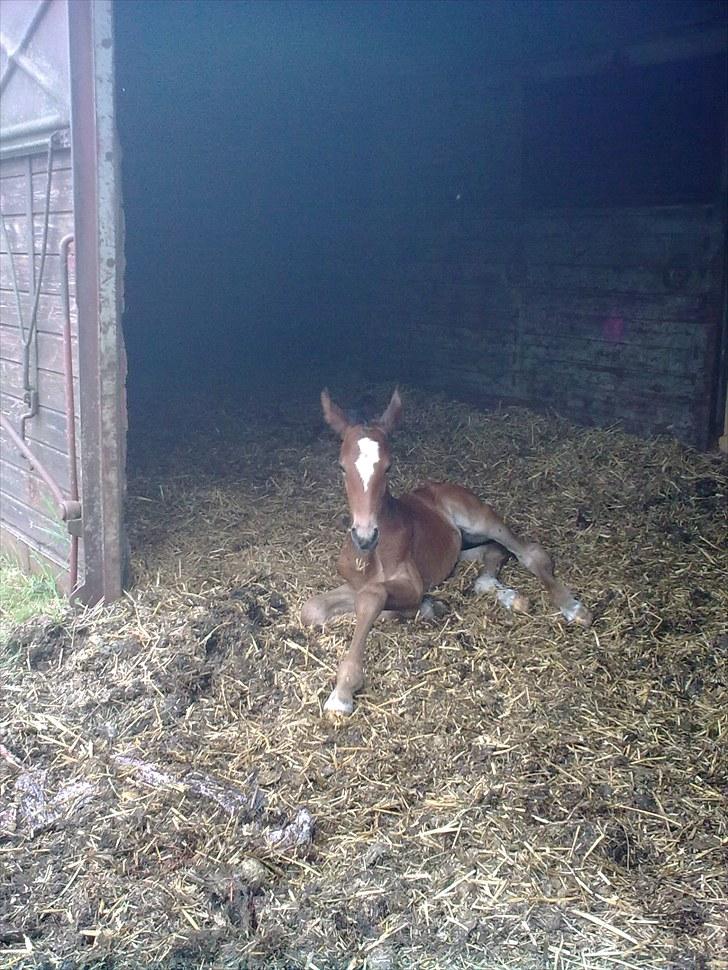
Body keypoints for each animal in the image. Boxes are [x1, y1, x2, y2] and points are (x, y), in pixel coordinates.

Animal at [302, 390, 592, 716]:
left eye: (388, 467)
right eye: (342, 467)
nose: (365, 536)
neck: (370, 555)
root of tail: (442, 487)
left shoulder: (409, 583)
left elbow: (373, 598)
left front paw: (342, 692)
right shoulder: (354, 583)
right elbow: (312, 609)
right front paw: (429, 606)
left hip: (479, 518)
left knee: (529, 553)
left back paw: (573, 608)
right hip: (459, 546)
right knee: (492, 553)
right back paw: (505, 594)